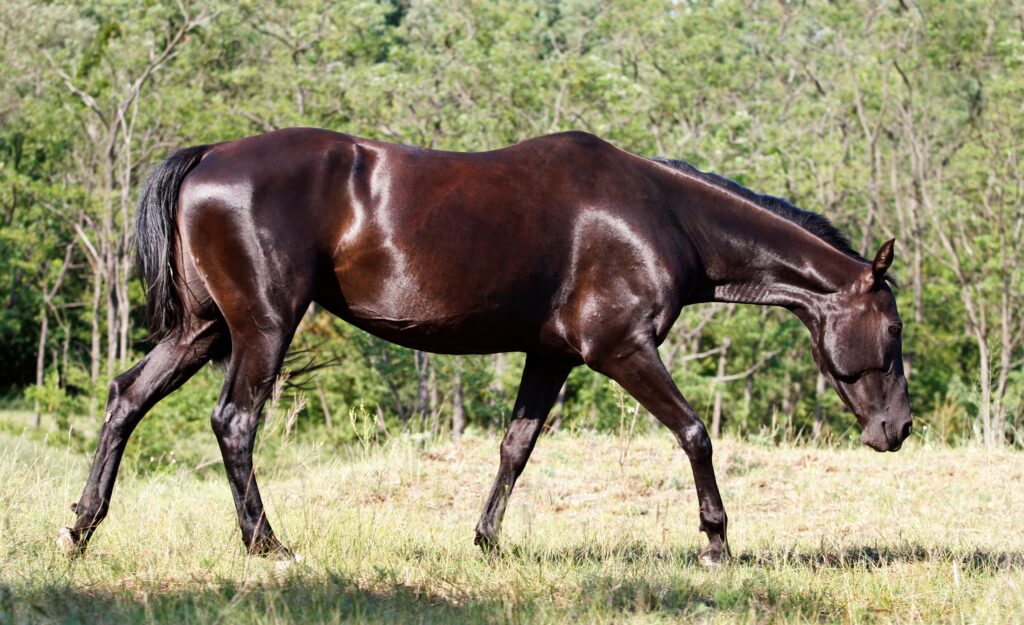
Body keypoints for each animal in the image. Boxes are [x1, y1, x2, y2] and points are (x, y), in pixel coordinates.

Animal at [57, 128, 911, 565]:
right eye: (895, 329)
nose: (897, 428)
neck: (656, 214)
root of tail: (209, 155)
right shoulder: (620, 348)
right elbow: (695, 431)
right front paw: (716, 542)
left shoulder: (552, 354)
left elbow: (515, 447)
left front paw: (486, 540)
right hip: (262, 326)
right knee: (235, 423)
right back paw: (268, 544)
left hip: (202, 328)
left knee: (127, 398)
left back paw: (82, 526)